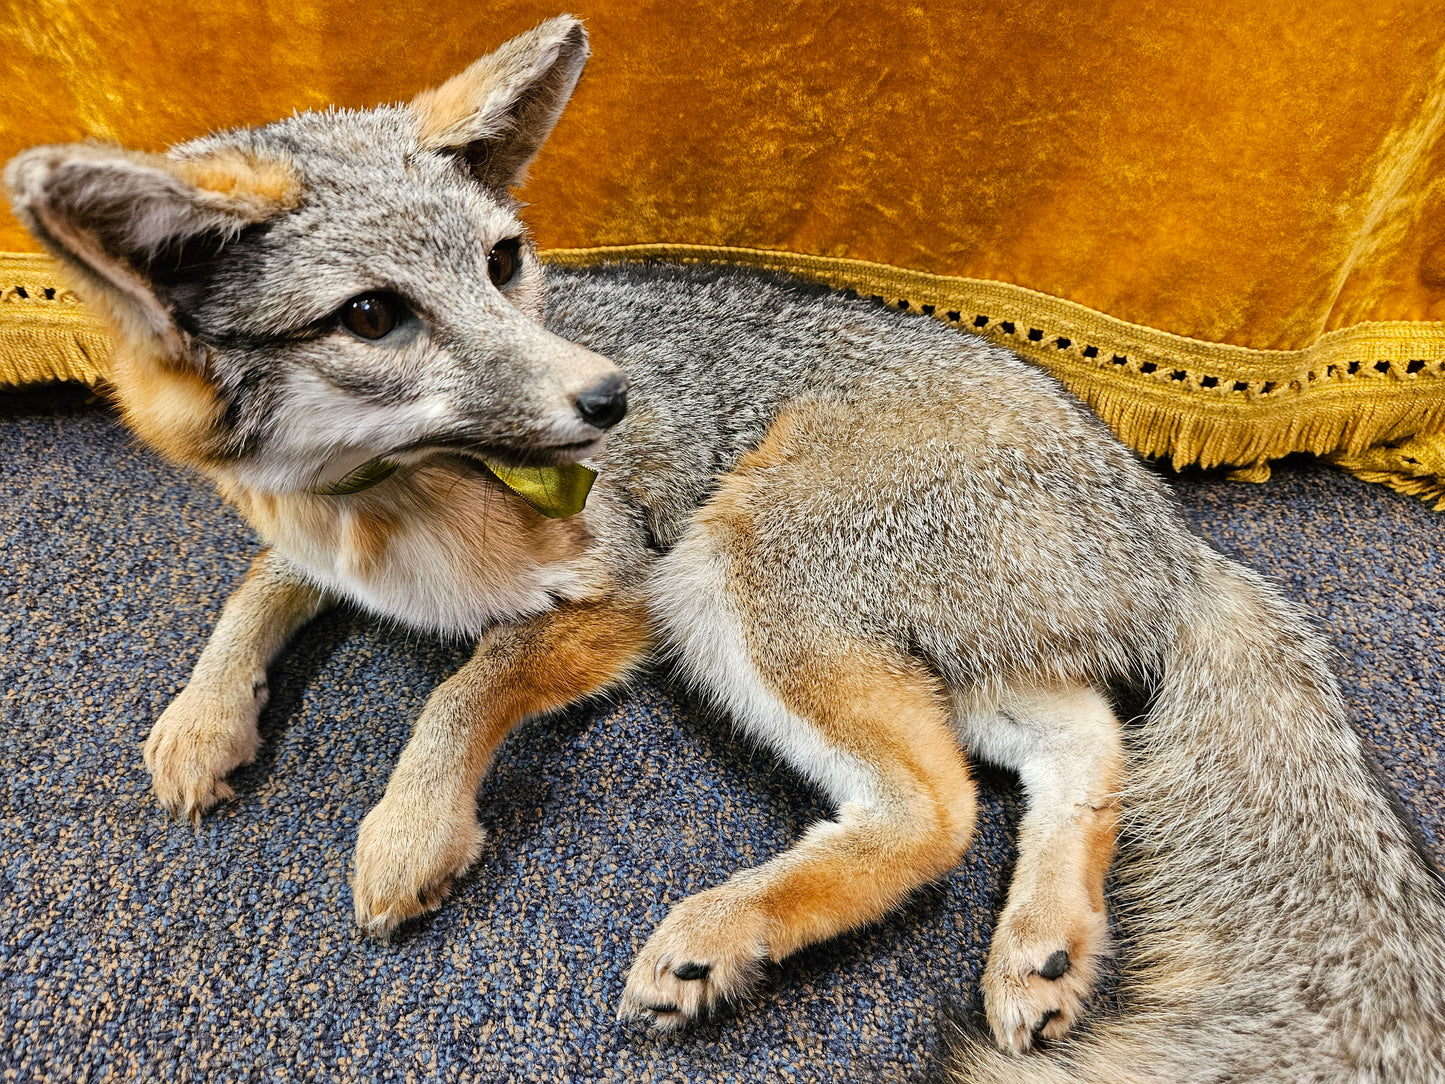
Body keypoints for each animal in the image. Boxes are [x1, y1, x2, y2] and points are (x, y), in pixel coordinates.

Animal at [5, 14, 1439, 1081]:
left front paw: (410, 830)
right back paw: (1044, 948)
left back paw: (726, 933)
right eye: (372, 317)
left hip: (731, 573)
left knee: (934, 811)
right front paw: (203, 720)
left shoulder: (617, 598)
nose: (609, 400)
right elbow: (255, 594)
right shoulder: (308, 541)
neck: (377, 506)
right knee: (1083, 746)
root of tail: (1167, 529)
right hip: (922, 653)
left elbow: (463, 688)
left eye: (505, 262)